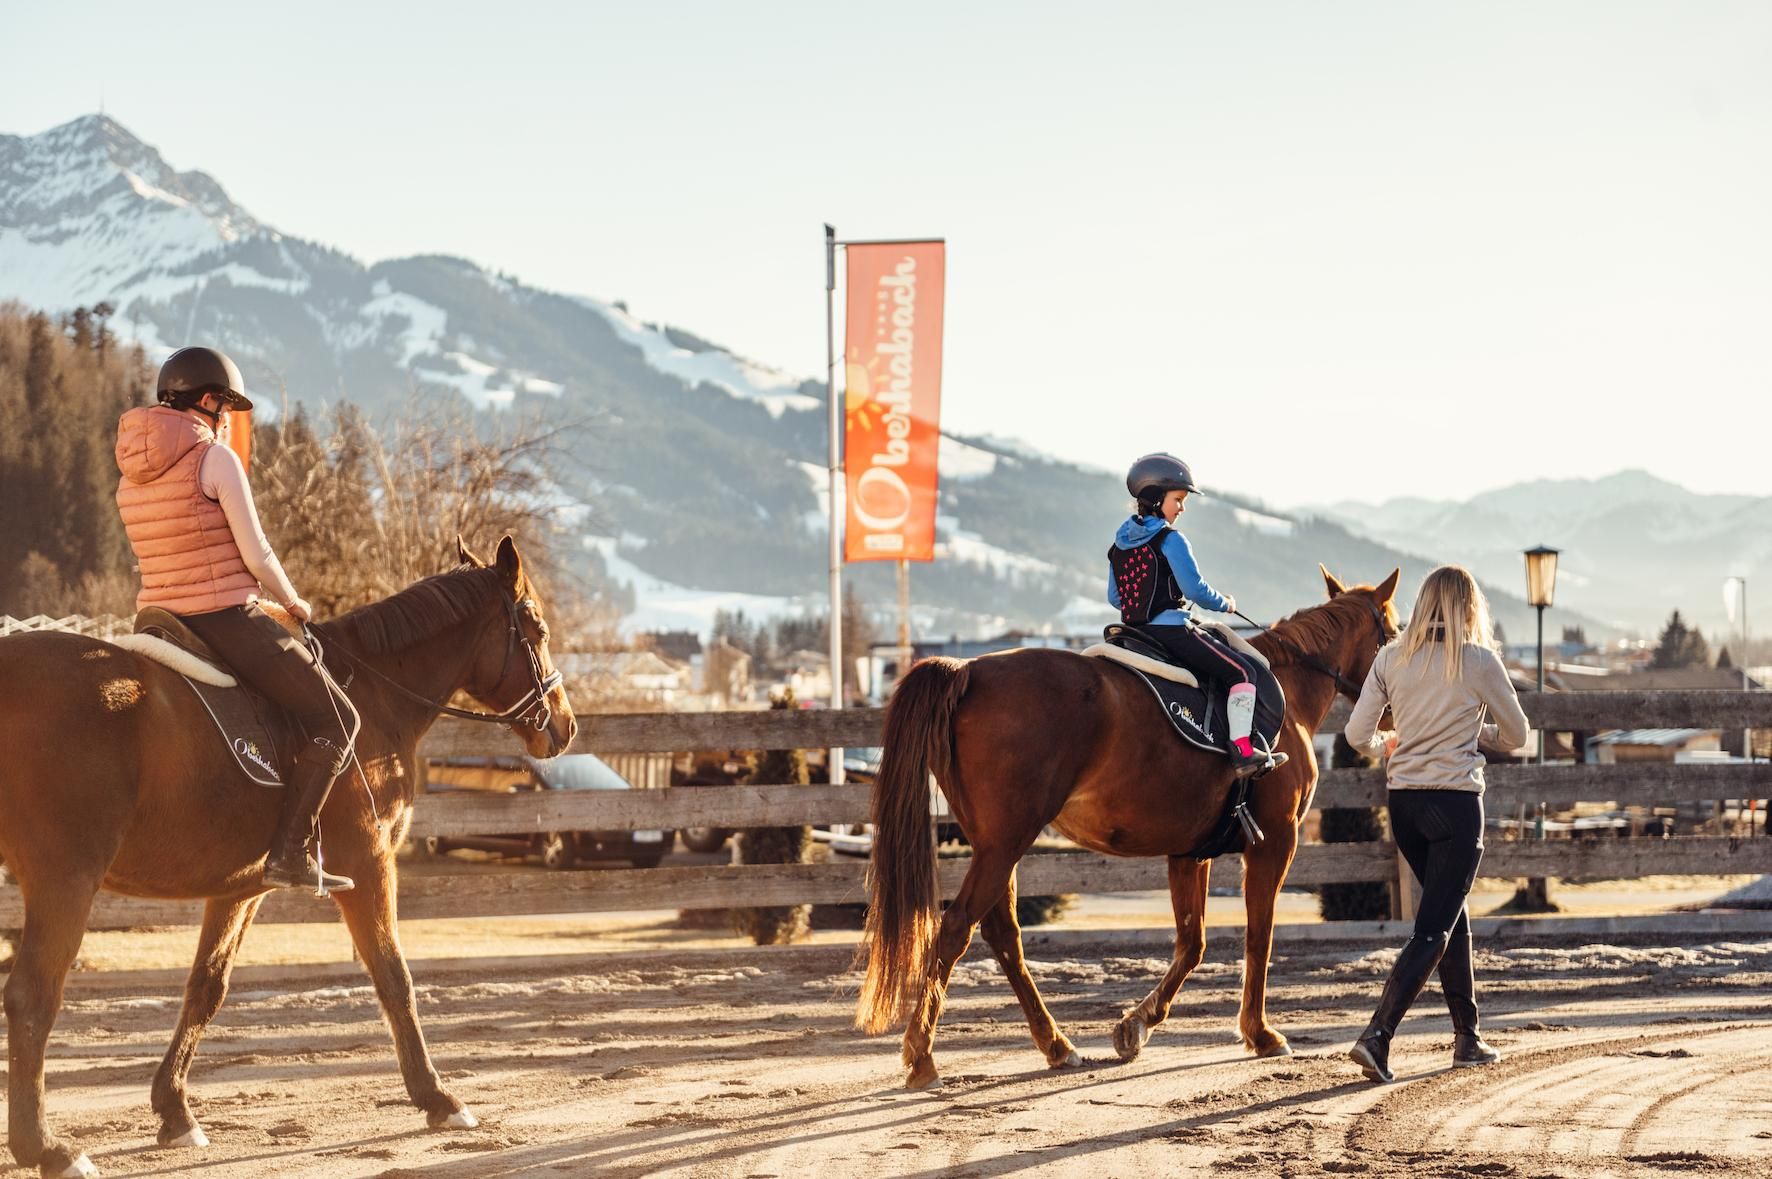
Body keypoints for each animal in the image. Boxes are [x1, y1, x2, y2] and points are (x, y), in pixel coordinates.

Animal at [0, 535, 575, 1179]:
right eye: (536, 626)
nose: (564, 724)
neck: (376, 693)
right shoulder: (371, 863)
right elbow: (394, 976)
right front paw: (438, 1098)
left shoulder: (240, 888)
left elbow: (207, 987)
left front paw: (175, 1111)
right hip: (66, 879)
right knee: (31, 998)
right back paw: (46, 1148)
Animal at [855, 566, 1400, 1089]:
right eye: (1394, 633)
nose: (1391, 717)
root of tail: (968, 670)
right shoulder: (1276, 842)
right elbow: (1259, 935)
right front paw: (1260, 1033)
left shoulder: (1190, 851)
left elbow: (1192, 942)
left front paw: (1136, 1025)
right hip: (1005, 843)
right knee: (955, 928)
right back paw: (922, 1056)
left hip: (996, 845)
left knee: (1002, 933)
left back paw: (1056, 1045)